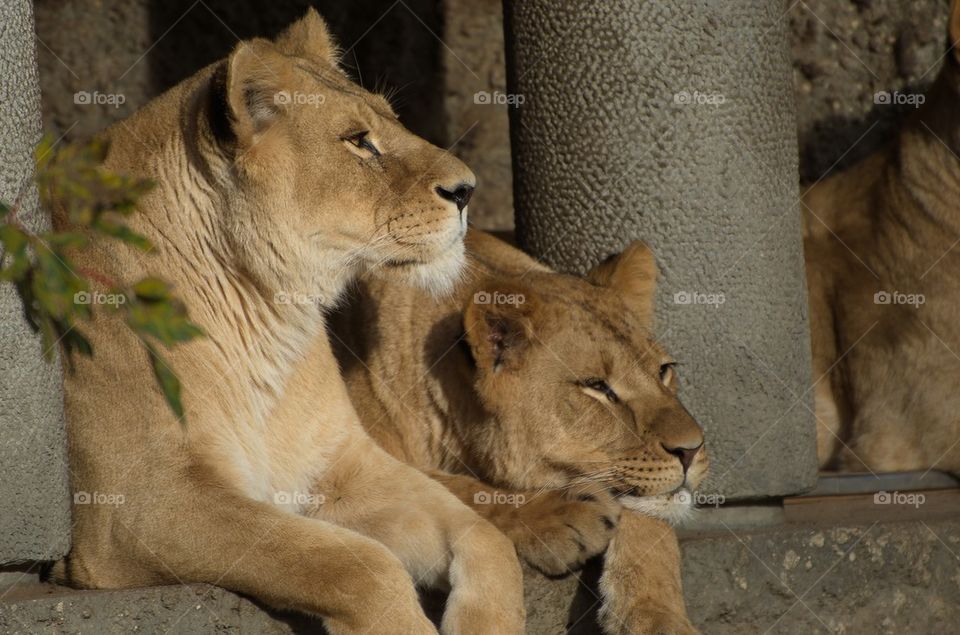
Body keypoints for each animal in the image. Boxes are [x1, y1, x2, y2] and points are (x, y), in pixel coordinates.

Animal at [52, 11, 524, 635]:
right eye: (358, 141)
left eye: (393, 120)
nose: (468, 190)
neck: (267, 315)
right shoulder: (139, 503)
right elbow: (355, 566)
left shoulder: (341, 466)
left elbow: (485, 533)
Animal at [330, 231, 704, 632]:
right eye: (597, 387)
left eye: (663, 370)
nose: (692, 450)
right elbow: (450, 488)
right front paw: (561, 512)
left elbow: (654, 523)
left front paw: (658, 615)